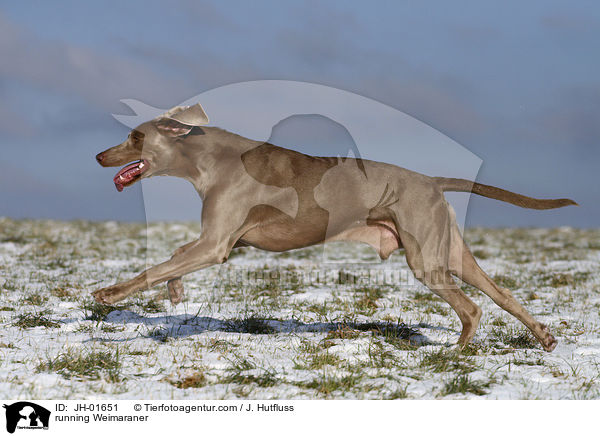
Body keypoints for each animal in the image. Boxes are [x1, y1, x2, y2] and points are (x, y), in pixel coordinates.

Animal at [94, 103, 576, 350]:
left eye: (135, 137)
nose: (99, 156)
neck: (208, 157)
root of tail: (431, 180)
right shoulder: (223, 241)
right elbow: (173, 258)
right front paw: (175, 291)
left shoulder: (215, 244)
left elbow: (153, 268)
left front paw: (109, 294)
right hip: (451, 252)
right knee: (502, 293)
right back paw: (545, 337)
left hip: (427, 260)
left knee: (472, 308)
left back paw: (456, 354)